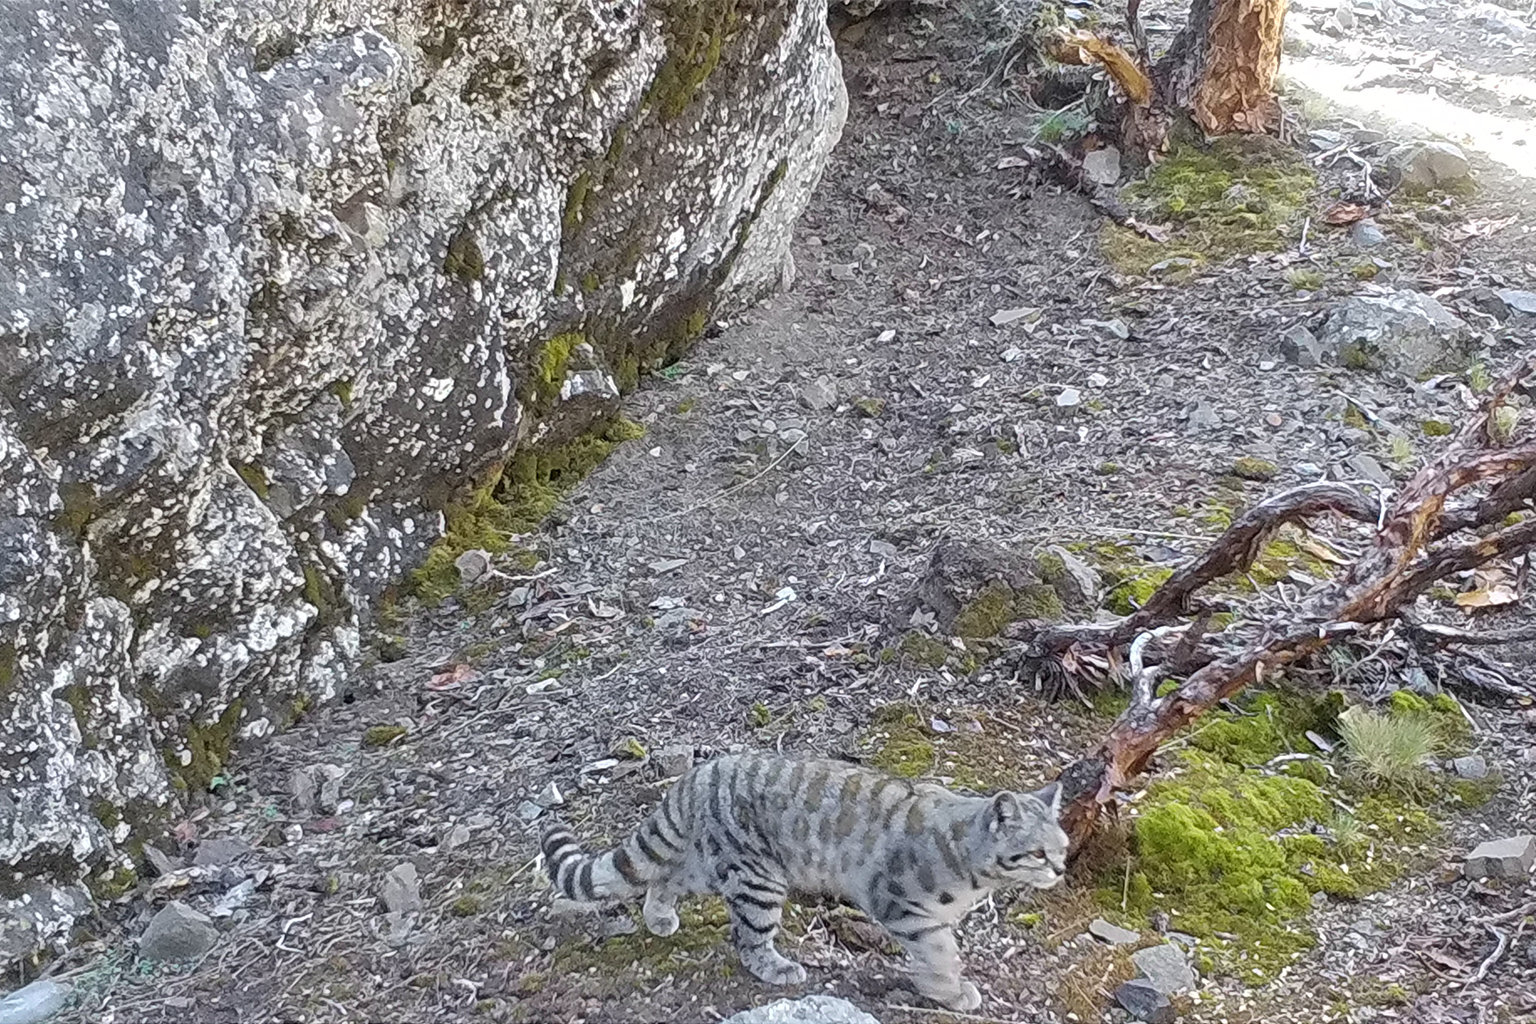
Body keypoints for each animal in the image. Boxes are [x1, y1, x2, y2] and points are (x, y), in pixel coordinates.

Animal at [540, 749, 1069, 1013]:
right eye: (1038, 852)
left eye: (1063, 847)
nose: (1062, 869)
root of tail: (700, 773)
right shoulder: (903, 908)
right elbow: (942, 953)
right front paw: (950, 992)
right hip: (759, 880)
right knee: (748, 939)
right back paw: (777, 967)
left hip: (712, 867)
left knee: (666, 878)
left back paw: (660, 917)